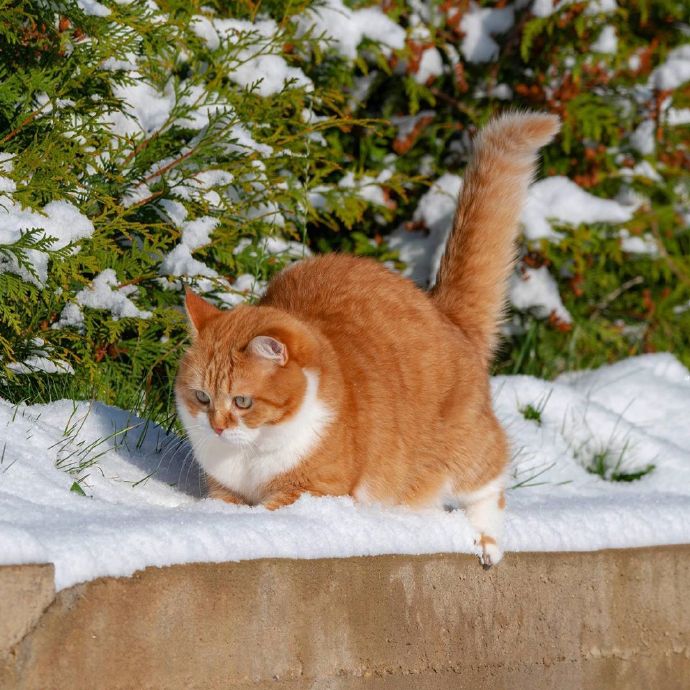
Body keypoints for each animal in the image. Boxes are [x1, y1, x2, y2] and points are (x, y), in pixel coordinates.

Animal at [175, 111, 556, 564]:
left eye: (243, 402)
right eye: (201, 398)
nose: (216, 427)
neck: (251, 456)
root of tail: (440, 309)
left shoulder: (312, 493)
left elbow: (270, 513)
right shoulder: (223, 489)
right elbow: (223, 505)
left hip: (467, 446)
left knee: (490, 480)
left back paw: (485, 538)